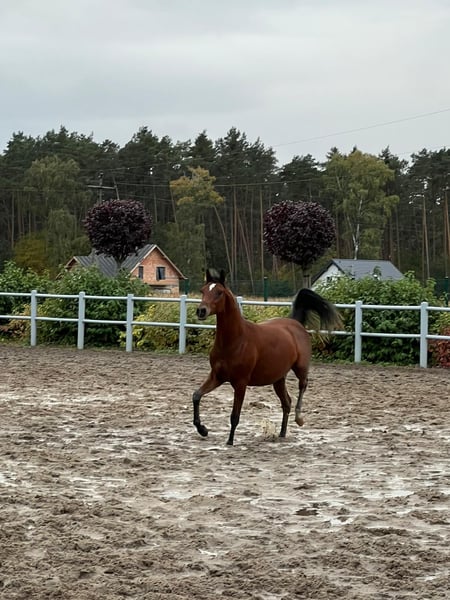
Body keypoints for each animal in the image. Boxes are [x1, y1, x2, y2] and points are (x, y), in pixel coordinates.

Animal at [192, 269, 342, 446]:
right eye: (202, 290)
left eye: (219, 292)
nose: (201, 311)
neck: (234, 341)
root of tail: (295, 323)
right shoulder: (217, 376)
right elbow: (196, 396)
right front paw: (202, 429)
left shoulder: (240, 383)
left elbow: (235, 415)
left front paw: (229, 441)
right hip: (278, 379)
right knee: (286, 403)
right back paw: (282, 433)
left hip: (300, 367)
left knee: (303, 385)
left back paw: (299, 418)